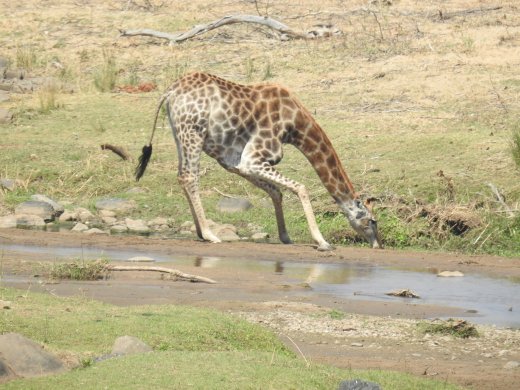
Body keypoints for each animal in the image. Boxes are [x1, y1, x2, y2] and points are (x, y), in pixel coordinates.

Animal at [135, 72, 382, 251]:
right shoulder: (253, 159)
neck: (295, 125)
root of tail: (170, 92)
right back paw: (210, 234)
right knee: (189, 176)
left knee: (182, 175)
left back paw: (200, 232)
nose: (377, 244)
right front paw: (322, 242)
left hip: (180, 134)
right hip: (193, 131)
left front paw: (285, 236)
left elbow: (276, 191)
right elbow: (301, 188)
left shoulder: (236, 163)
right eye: (372, 221)